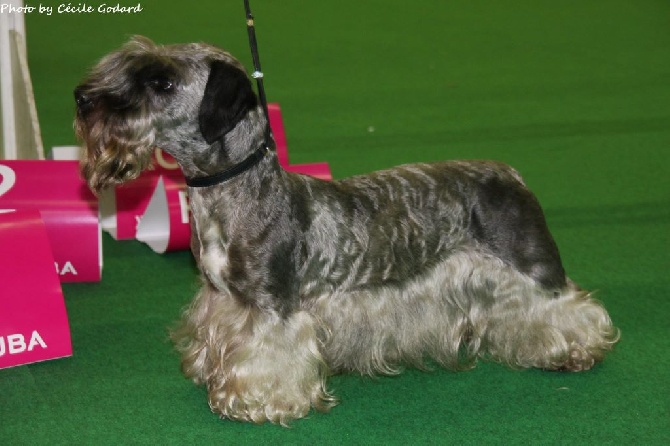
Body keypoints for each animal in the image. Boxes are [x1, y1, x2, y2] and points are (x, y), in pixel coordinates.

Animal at [75, 35, 620, 426]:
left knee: (569, 307)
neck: (235, 191)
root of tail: (511, 173)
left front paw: (257, 402)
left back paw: (576, 350)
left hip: (531, 267)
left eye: (162, 83)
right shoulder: (221, 298)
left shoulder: (273, 308)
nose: (82, 99)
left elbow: (268, 358)